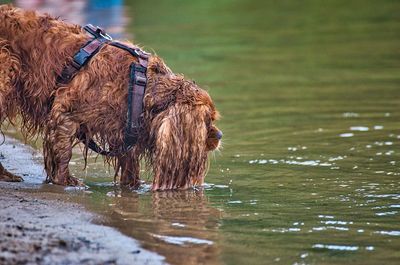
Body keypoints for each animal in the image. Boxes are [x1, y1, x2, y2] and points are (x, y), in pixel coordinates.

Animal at [0, 5, 222, 190]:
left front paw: (134, 186)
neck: (140, 85)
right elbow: (63, 152)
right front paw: (65, 180)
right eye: (207, 121)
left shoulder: (125, 129)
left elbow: (129, 162)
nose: (219, 135)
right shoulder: (65, 111)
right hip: (7, 75)